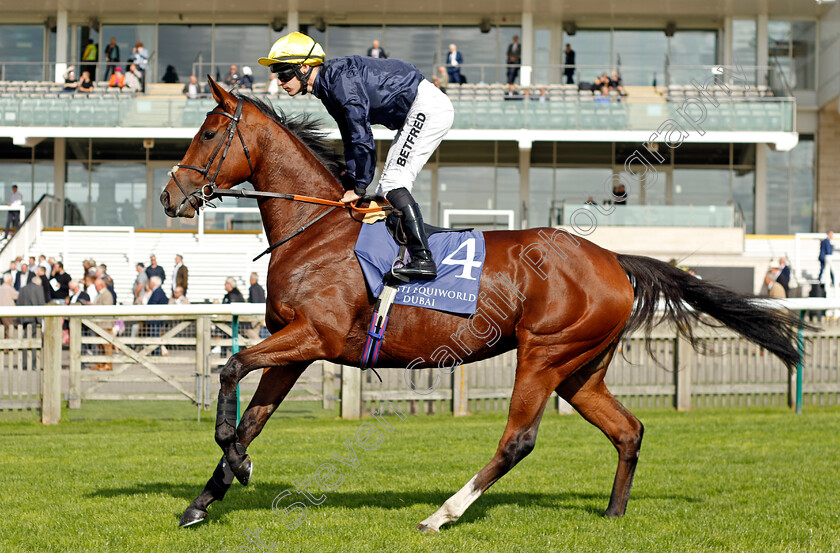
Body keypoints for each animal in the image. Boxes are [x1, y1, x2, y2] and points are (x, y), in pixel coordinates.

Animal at [159, 77, 808, 532]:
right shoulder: (294, 348)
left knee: (518, 440)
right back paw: (613, 514)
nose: (170, 196)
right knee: (629, 430)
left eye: (209, 135)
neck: (317, 230)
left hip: (545, 354)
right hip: (582, 369)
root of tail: (613, 259)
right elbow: (254, 416)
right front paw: (206, 497)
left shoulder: (314, 337)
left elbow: (230, 368)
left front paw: (237, 465)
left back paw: (442, 514)